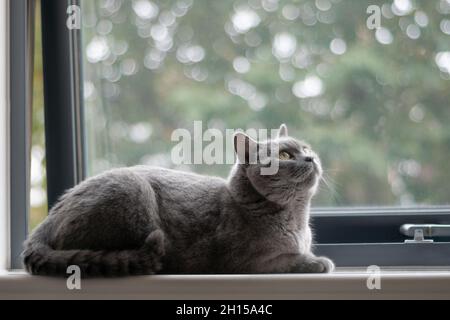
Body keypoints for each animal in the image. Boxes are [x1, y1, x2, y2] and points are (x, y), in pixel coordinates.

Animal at [23, 125, 334, 278]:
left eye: (306, 148)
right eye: (284, 155)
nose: (311, 158)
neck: (296, 218)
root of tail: (50, 216)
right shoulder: (248, 264)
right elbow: (290, 260)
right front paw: (318, 262)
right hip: (131, 191)